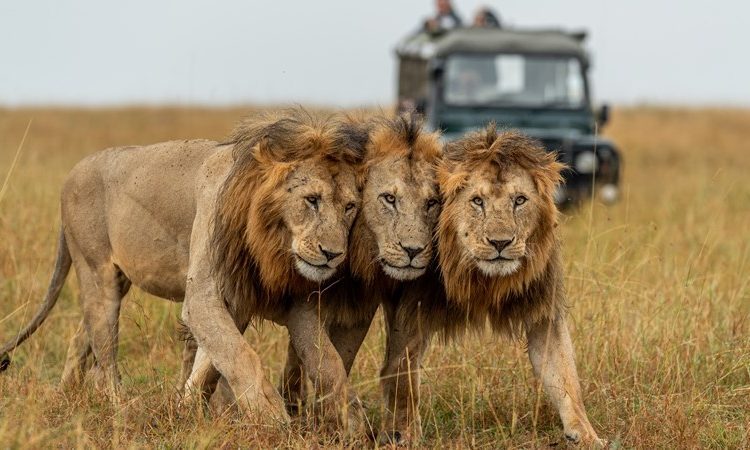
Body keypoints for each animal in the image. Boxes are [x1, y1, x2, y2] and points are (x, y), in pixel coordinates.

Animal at [0, 110, 368, 428]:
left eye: (350, 207)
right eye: (312, 199)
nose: (333, 254)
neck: (270, 242)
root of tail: (73, 172)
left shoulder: (251, 300)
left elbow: (215, 365)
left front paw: (185, 407)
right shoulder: (204, 296)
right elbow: (240, 355)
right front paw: (270, 416)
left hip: (115, 281)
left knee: (81, 336)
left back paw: (63, 396)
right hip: (97, 272)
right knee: (105, 352)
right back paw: (120, 408)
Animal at [374, 124, 608, 446]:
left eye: (519, 200)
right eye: (477, 201)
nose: (500, 243)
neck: (480, 276)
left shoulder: (543, 312)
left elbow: (565, 377)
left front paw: (586, 436)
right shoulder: (409, 313)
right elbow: (401, 377)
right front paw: (402, 436)